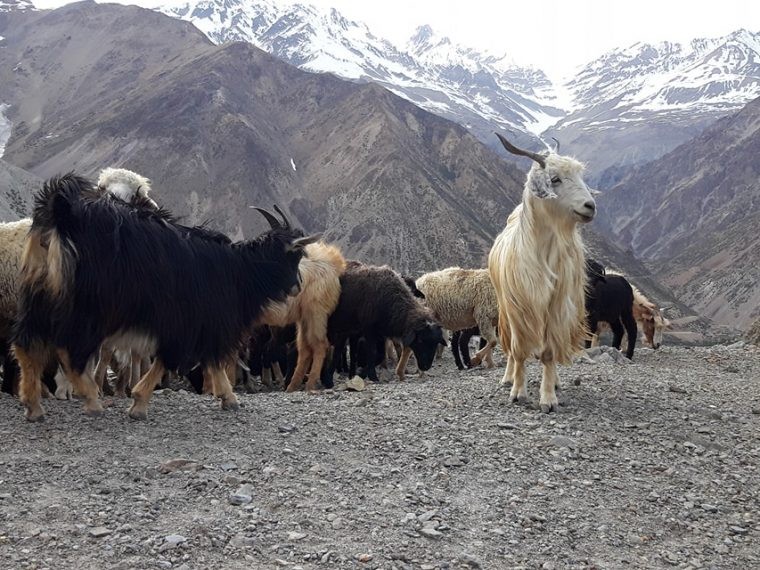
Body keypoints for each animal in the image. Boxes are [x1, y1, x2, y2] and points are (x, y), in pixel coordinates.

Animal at [11, 175, 314, 420]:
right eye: (295, 256)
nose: (297, 286)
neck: (236, 271)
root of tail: (60, 215)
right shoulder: (188, 323)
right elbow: (171, 359)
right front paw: (138, 403)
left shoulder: (202, 324)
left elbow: (210, 360)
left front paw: (228, 397)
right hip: (87, 309)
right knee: (67, 350)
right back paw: (91, 400)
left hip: (40, 297)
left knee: (27, 344)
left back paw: (33, 406)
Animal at [486, 133, 600, 410]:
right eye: (555, 179)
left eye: (580, 175)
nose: (590, 206)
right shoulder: (517, 307)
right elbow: (517, 351)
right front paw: (517, 391)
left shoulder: (556, 307)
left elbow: (549, 353)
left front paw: (548, 398)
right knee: (510, 346)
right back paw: (507, 377)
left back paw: (555, 382)